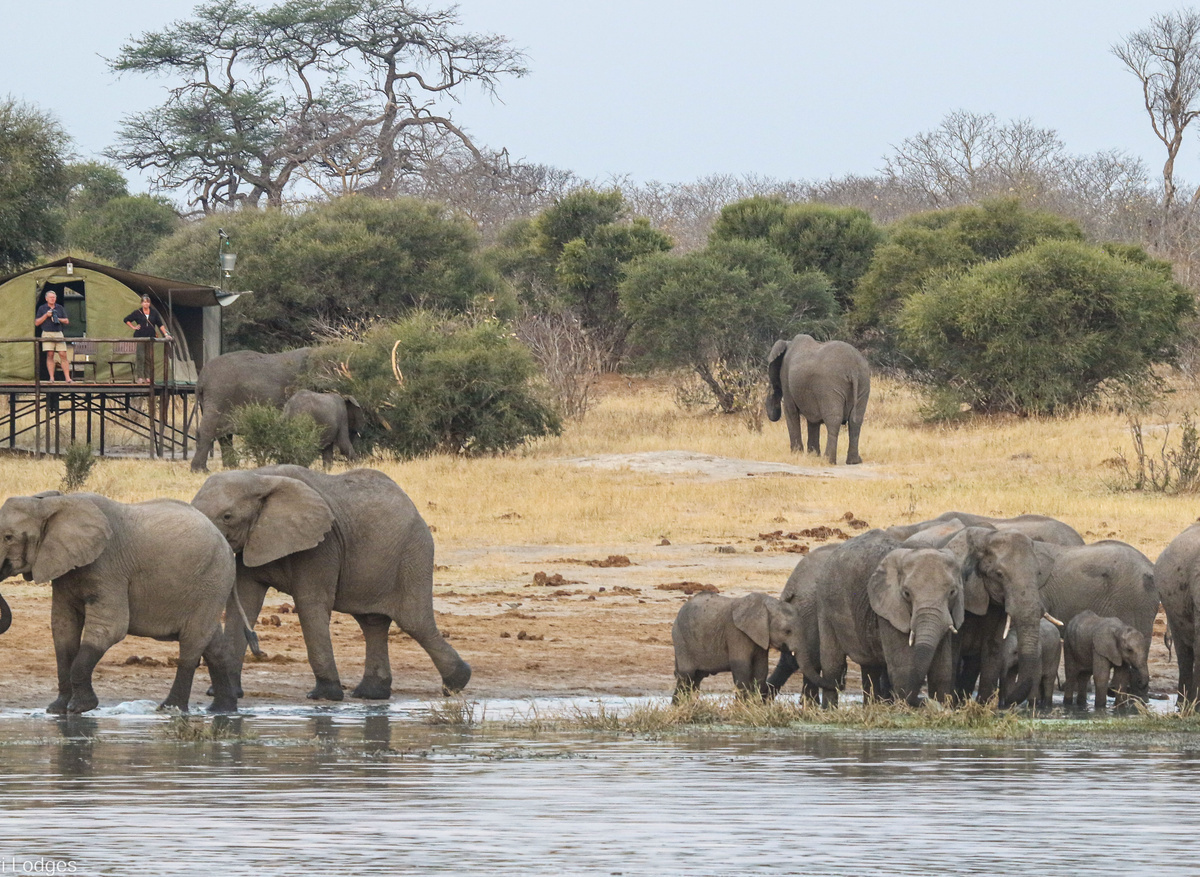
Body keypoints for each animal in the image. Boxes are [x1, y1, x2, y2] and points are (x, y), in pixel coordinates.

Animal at [0, 492, 251, 714]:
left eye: (8, 537)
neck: (49, 503)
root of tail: (226, 544)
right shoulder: (64, 570)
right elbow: (63, 629)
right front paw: (56, 710)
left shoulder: (108, 566)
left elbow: (111, 627)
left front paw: (81, 708)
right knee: (213, 644)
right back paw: (221, 711)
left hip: (212, 581)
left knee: (192, 642)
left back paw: (170, 709)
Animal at [191, 465, 471, 700]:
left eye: (227, 516)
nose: (259, 650)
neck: (258, 477)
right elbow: (246, 603)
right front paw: (222, 692)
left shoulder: (322, 545)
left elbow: (310, 605)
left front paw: (324, 696)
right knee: (373, 623)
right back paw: (371, 694)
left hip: (412, 554)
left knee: (414, 622)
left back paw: (457, 683)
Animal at [671, 591, 805, 702]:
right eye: (787, 631)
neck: (765, 605)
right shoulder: (736, 633)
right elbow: (741, 667)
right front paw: (743, 707)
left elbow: (761, 668)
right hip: (681, 639)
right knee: (686, 676)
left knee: (695, 679)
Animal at [765, 334, 870, 464]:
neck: (787, 343)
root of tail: (853, 368)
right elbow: (813, 419)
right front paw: (813, 455)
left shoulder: (786, 379)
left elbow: (790, 411)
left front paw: (797, 454)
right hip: (863, 382)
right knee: (856, 421)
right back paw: (854, 461)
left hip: (830, 386)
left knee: (833, 420)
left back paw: (828, 460)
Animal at [811, 530, 965, 707]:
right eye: (906, 593)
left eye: (952, 592)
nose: (925, 700)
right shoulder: (889, 610)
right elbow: (903, 670)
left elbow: (942, 670)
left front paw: (942, 707)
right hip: (824, 603)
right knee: (832, 665)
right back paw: (829, 708)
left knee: (870, 668)